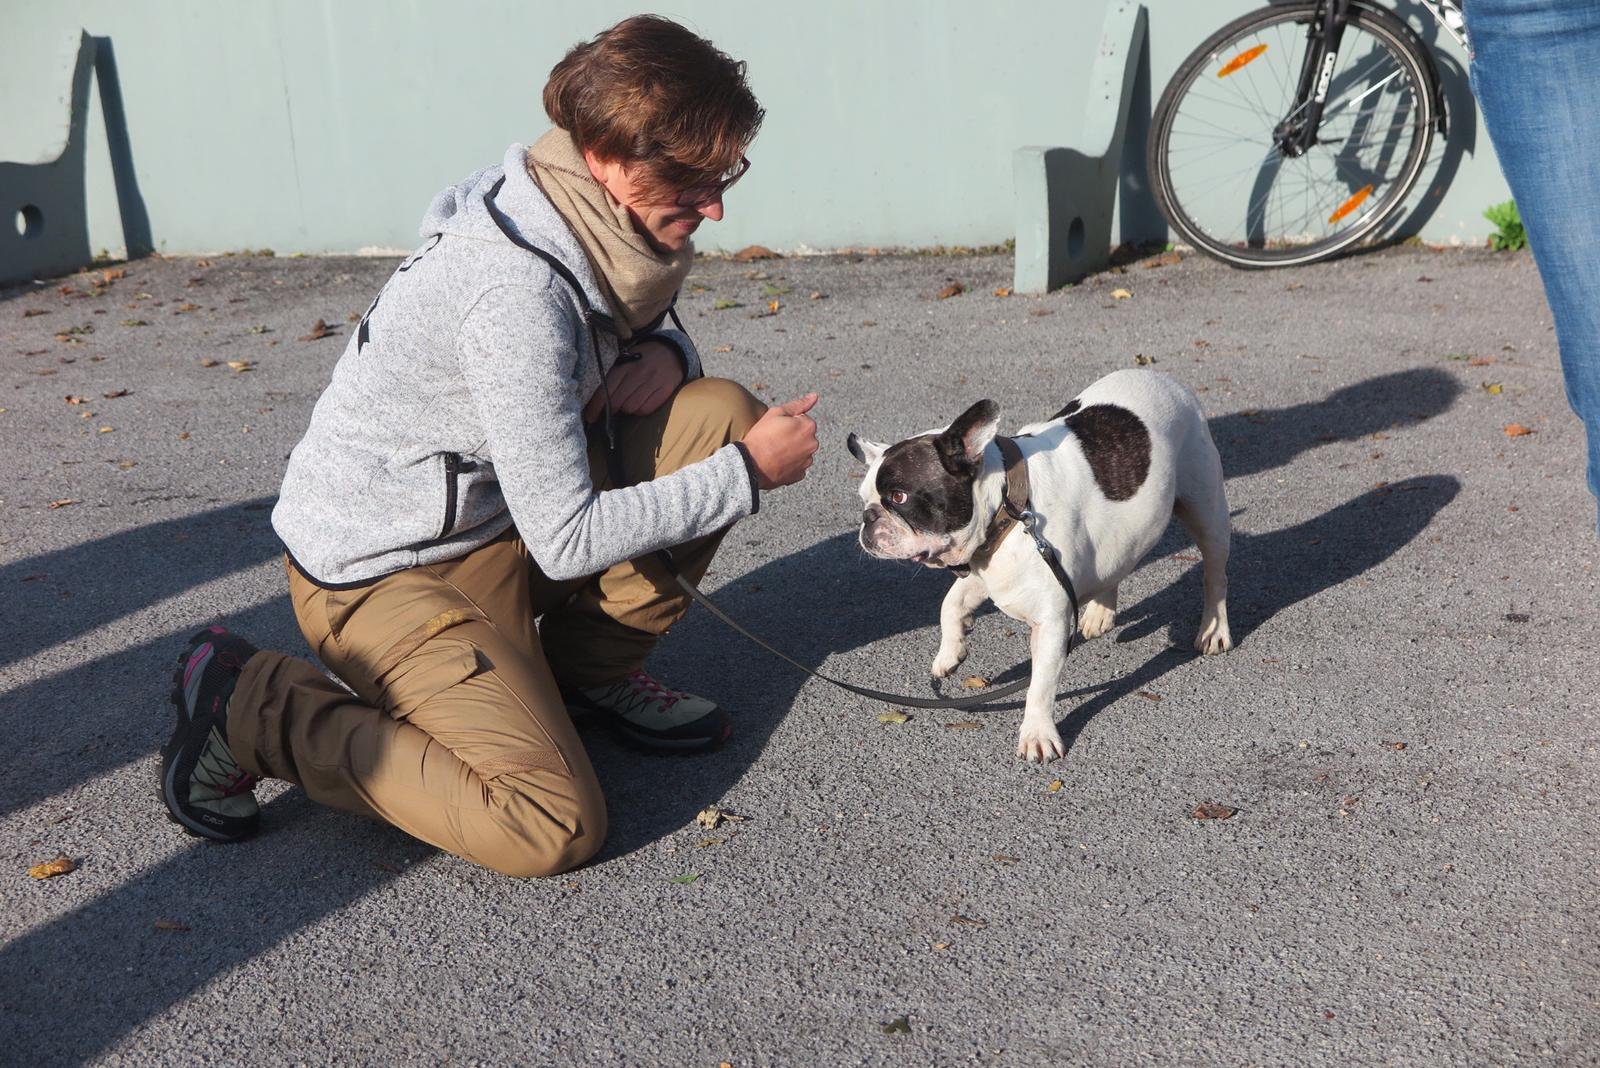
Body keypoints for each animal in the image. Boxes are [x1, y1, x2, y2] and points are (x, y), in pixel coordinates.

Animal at [847, 369, 1232, 762]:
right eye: (865, 499)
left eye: (899, 497)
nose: (868, 518)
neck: (1011, 507)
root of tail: (1163, 377)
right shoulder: (984, 567)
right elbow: (951, 603)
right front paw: (950, 653)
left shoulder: (1050, 623)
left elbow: (1039, 686)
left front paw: (1037, 733)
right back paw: (1100, 613)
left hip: (1207, 511)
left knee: (1214, 574)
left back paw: (1213, 629)